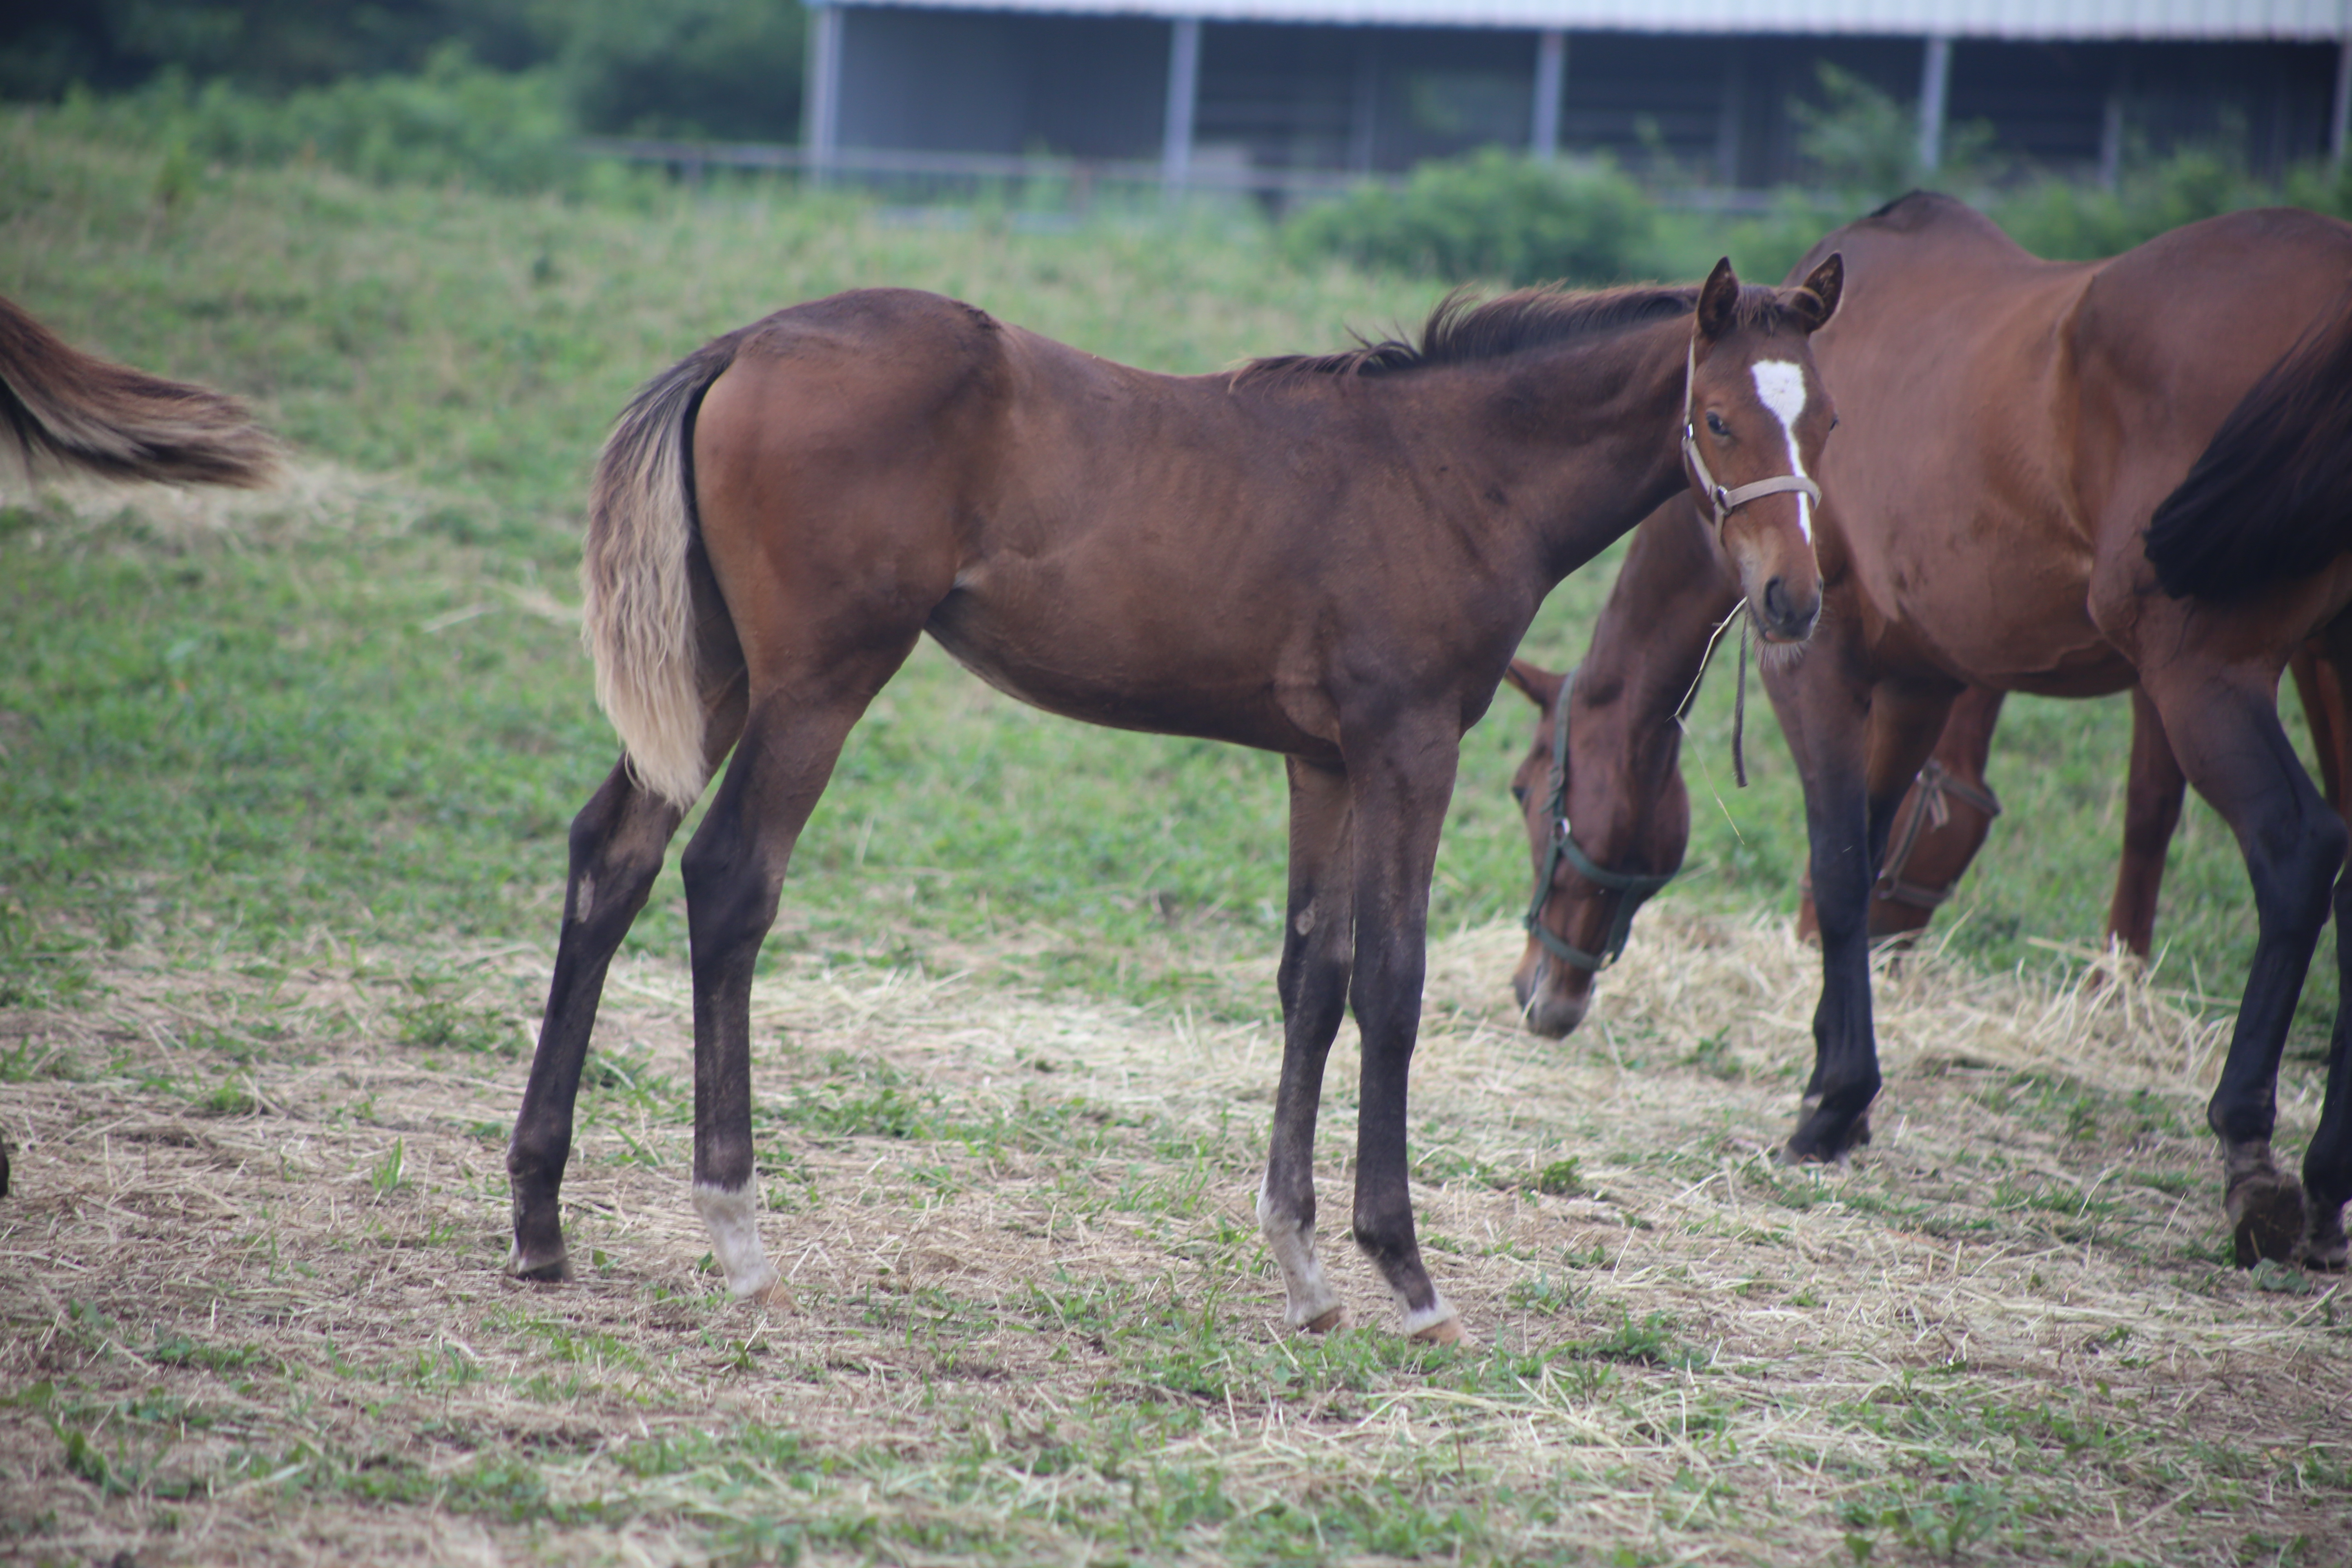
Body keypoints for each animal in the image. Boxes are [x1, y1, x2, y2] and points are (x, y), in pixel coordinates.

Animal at [506, 257, 1844, 1335]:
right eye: (1716, 418)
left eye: (1823, 420)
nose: (1793, 599)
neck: (1454, 472)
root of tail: (744, 344)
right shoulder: (1408, 743)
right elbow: (1392, 981)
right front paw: (1403, 1273)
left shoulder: (1325, 761)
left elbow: (1314, 976)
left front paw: (1303, 1268)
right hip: (817, 678)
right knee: (729, 876)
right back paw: (736, 1230)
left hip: (715, 670)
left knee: (611, 853)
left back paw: (539, 1217)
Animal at [1505, 193, 2352, 1278]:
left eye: (1530, 791)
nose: (1541, 991)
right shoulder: (1917, 685)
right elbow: (1865, 863)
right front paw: (1838, 1083)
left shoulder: (1814, 667)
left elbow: (1835, 863)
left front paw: (1830, 1103)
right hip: (2330, 661)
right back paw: (2328, 1177)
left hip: (2204, 672)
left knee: (2298, 853)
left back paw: (2251, 1157)